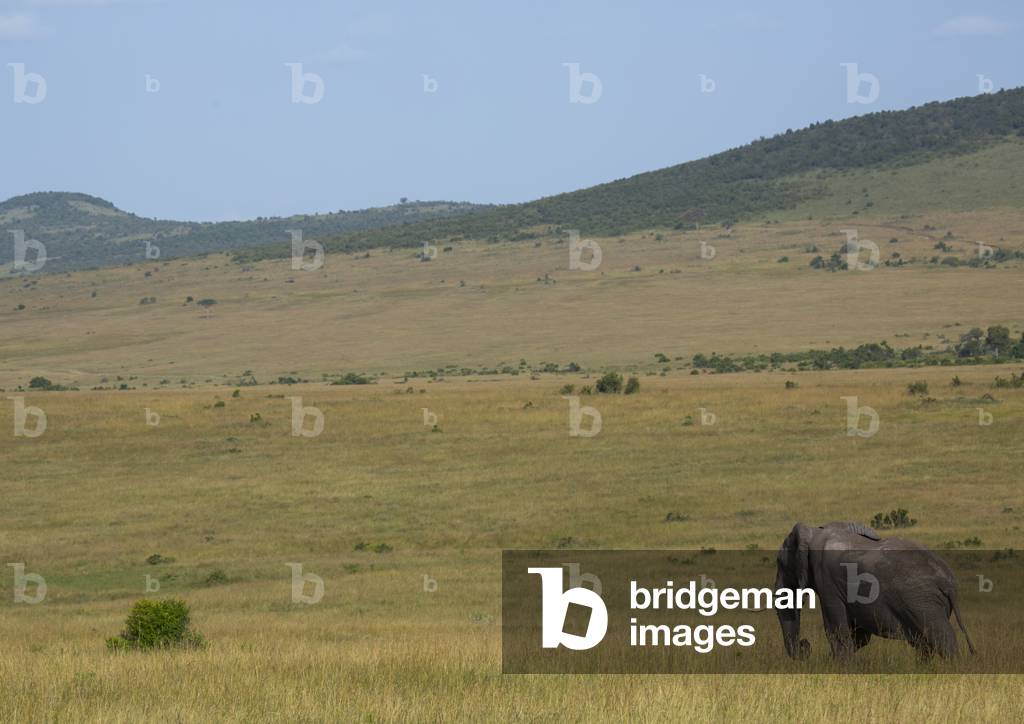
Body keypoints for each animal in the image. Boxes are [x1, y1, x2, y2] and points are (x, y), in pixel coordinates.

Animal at [774, 521, 976, 661]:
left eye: (780, 563)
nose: (805, 645)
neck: (814, 531)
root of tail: (949, 581)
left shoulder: (827, 580)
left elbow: (837, 631)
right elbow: (859, 636)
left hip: (922, 600)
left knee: (940, 636)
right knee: (923, 643)